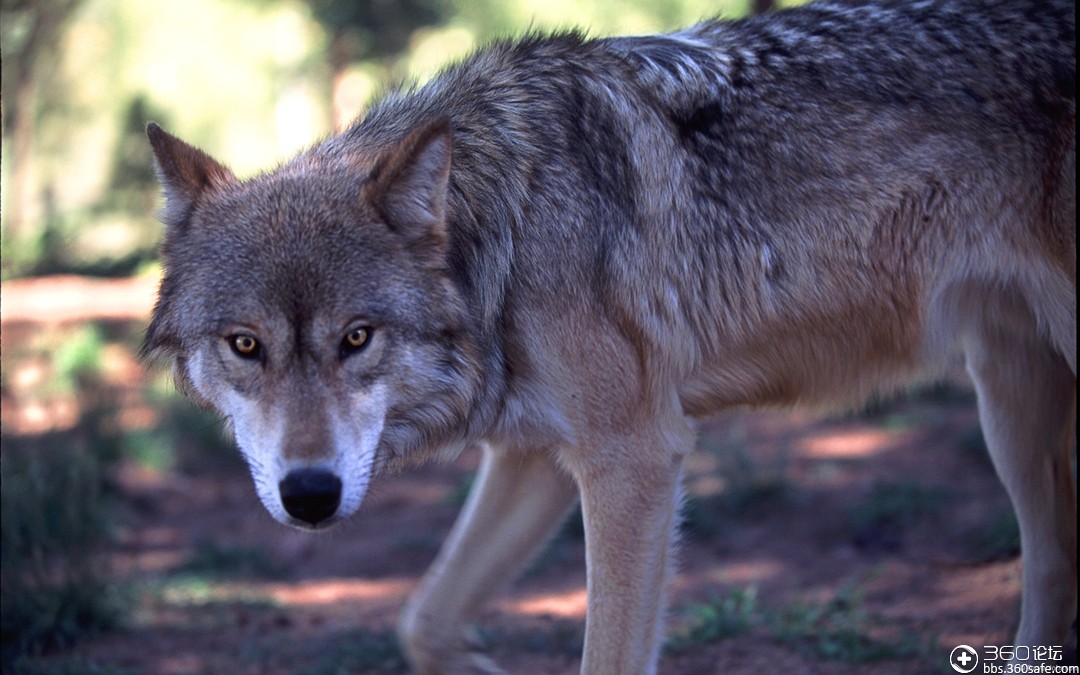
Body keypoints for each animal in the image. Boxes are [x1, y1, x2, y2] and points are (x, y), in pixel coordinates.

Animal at [141, 0, 1071, 669]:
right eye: (245, 344)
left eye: (358, 337)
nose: (310, 495)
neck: (507, 229)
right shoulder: (533, 456)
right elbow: (424, 619)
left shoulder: (634, 459)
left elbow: (607, 653)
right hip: (1010, 403)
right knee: (1053, 566)